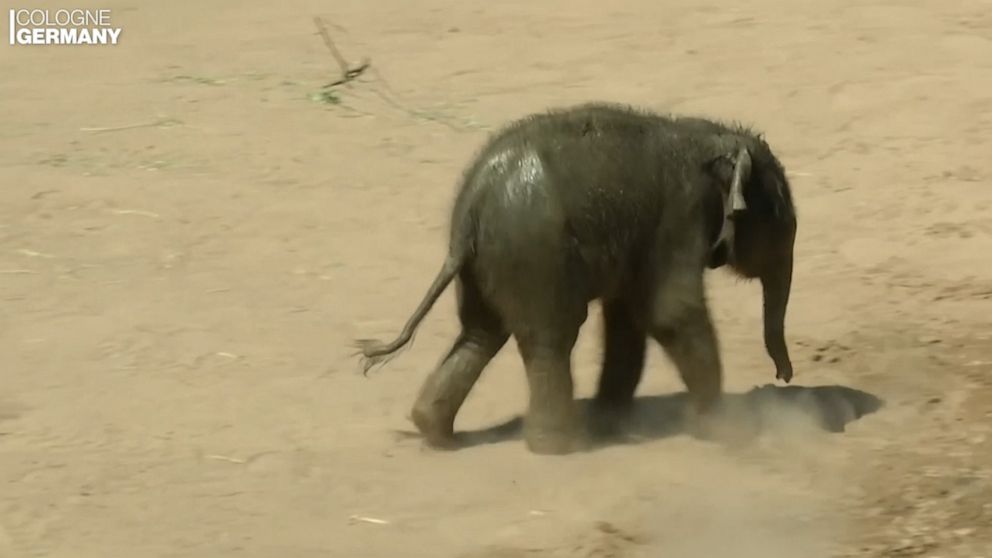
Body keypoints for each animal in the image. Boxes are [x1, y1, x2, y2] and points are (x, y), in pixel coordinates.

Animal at [356, 104, 800, 456]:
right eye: (780, 217)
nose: (784, 376)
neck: (708, 137)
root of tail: (469, 212)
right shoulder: (680, 216)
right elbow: (670, 311)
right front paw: (725, 431)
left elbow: (627, 319)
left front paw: (611, 421)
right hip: (535, 255)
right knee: (551, 337)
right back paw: (558, 445)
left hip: (491, 264)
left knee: (480, 334)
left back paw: (436, 432)